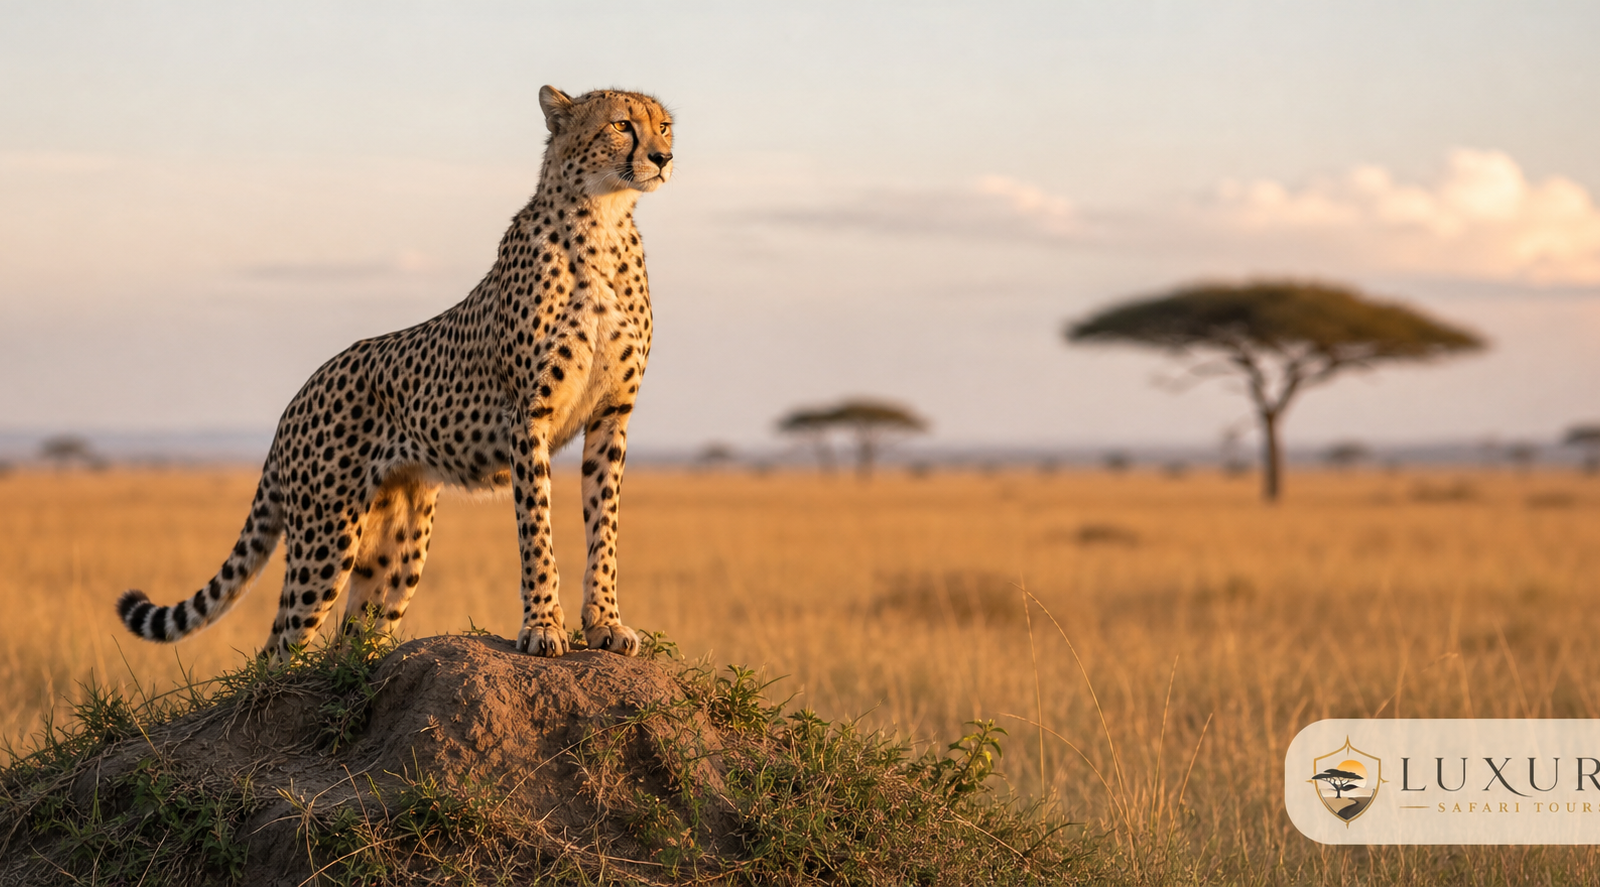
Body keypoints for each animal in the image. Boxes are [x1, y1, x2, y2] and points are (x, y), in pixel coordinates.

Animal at [116, 86, 673, 661]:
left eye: (665, 126)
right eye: (622, 125)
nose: (663, 158)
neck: (602, 220)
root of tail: (300, 394)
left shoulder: (611, 416)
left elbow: (603, 528)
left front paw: (605, 622)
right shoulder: (528, 416)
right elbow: (536, 529)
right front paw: (543, 626)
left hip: (398, 544)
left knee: (350, 640)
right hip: (325, 537)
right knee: (278, 652)